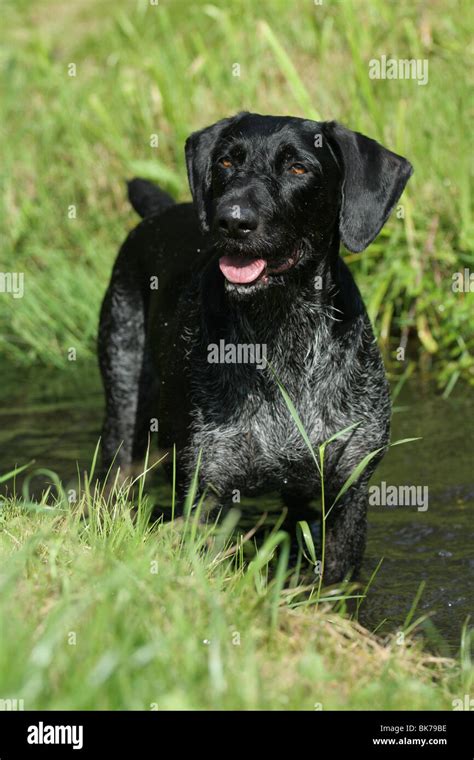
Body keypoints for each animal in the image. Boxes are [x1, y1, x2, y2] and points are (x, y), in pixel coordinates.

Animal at [98, 111, 412, 580]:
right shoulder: (205, 490)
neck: (283, 335)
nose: (232, 220)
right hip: (123, 402)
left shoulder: (347, 491)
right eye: (227, 162)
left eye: (298, 168)